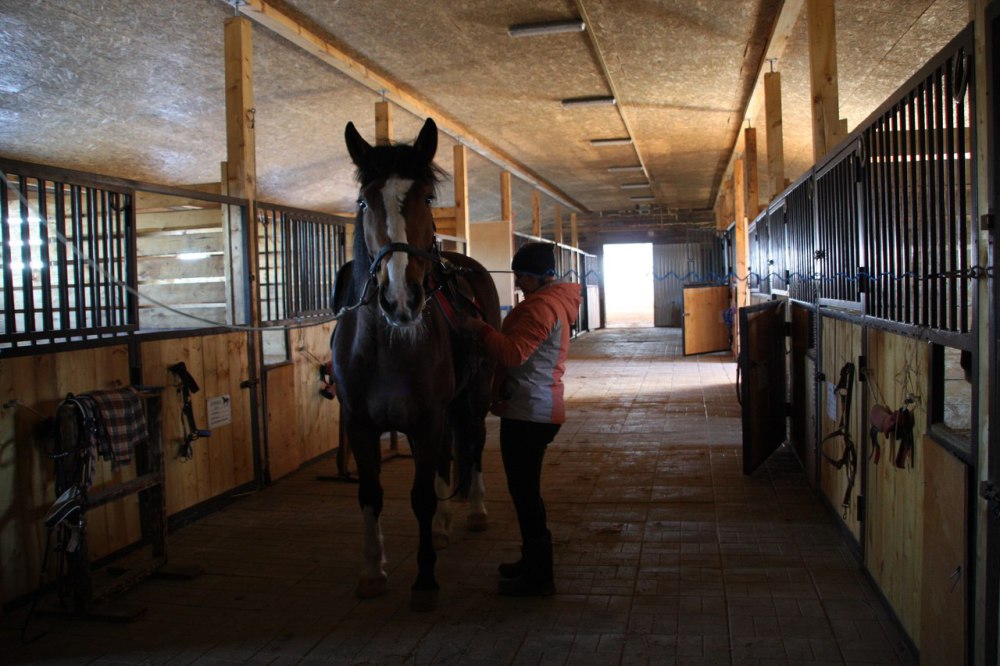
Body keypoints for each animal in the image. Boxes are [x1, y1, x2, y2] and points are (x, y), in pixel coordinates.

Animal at [332, 116, 500, 608]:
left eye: (426, 197)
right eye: (364, 200)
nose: (401, 299)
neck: (387, 346)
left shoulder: (427, 420)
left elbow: (421, 496)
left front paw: (425, 581)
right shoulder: (360, 425)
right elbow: (371, 493)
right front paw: (373, 572)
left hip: (474, 398)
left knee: (474, 443)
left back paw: (475, 511)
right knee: (448, 457)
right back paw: (443, 529)